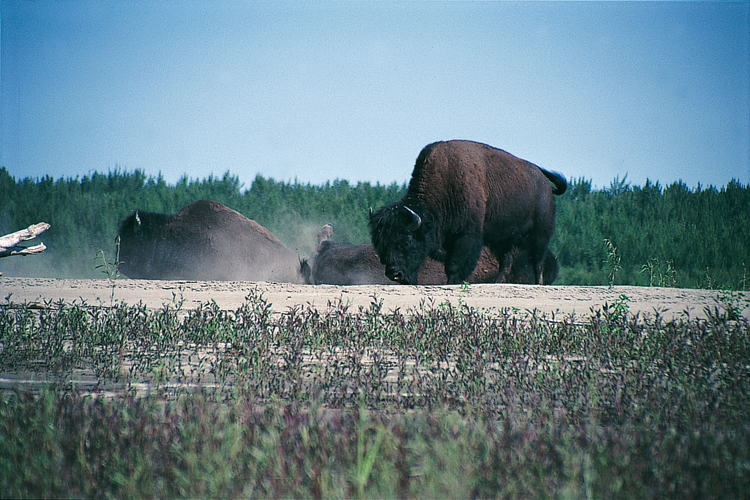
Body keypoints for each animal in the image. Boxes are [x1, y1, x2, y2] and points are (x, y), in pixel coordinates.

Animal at [370, 141, 568, 286]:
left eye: (407, 240)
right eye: (381, 244)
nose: (394, 274)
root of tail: (545, 184)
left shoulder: (466, 235)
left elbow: (454, 265)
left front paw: (452, 283)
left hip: (540, 232)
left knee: (538, 259)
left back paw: (538, 283)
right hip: (504, 239)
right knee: (506, 261)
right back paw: (497, 283)